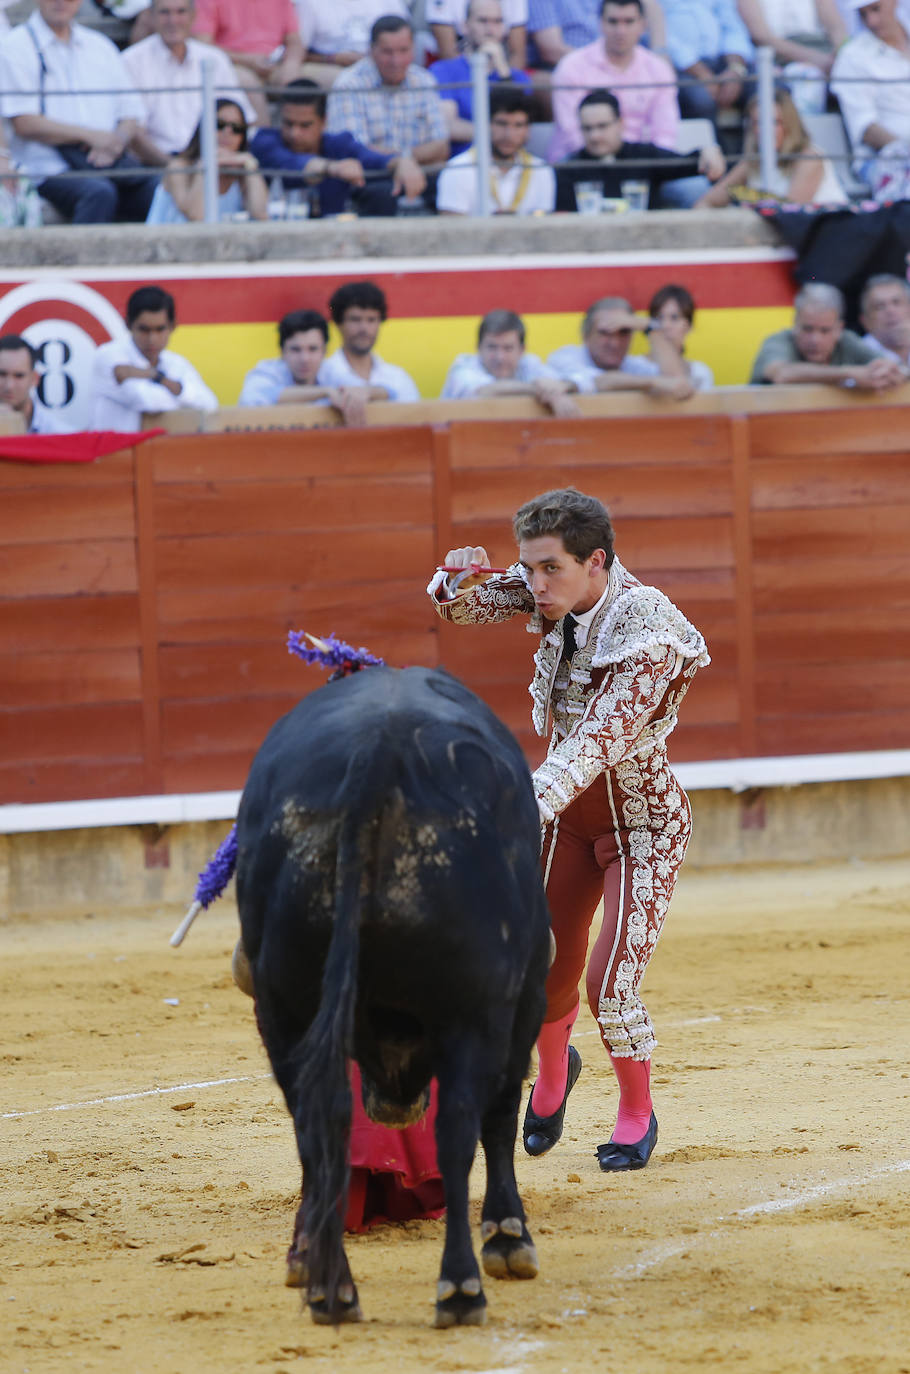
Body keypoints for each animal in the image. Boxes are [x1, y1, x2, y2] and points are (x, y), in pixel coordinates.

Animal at [235, 659, 552, 1324]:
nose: (395, 1104)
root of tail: (376, 754)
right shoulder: (518, 1004)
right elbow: (500, 1115)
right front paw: (507, 1237)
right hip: (471, 1009)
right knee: (458, 1130)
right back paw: (460, 1287)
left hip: (283, 1011)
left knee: (317, 1124)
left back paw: (328, 1286)